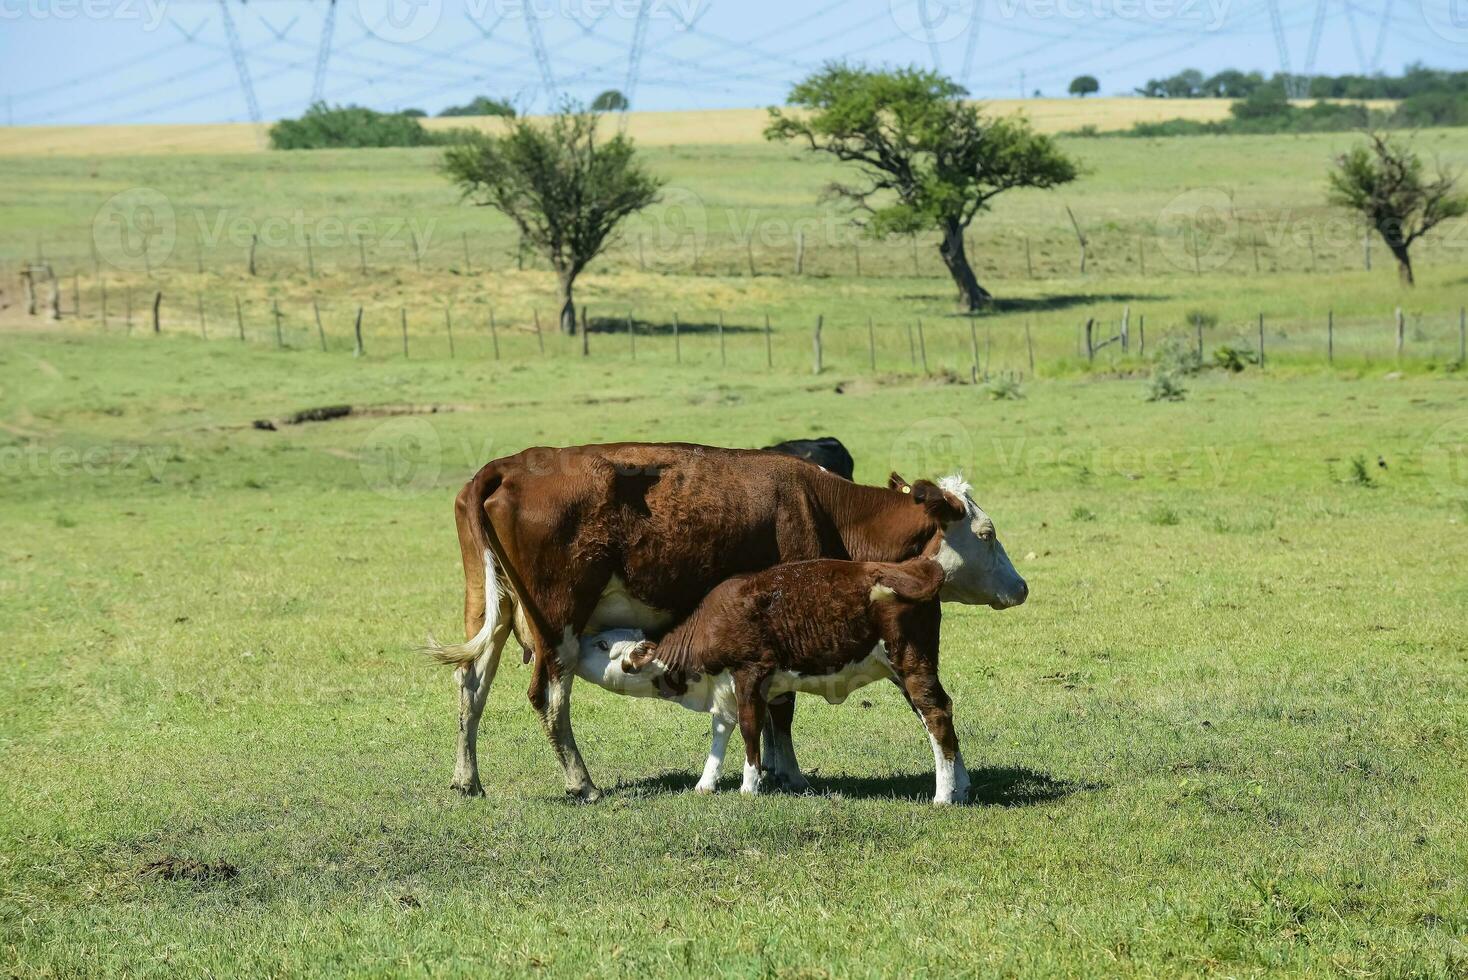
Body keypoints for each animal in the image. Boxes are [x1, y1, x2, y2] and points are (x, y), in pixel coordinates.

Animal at [613, 557, 968, 803]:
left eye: (615, 653)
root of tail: (914, 567)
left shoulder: (751, 672)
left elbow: (749, 727)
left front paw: (748, 787)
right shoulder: (726, 687)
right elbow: (721, 730)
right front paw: (705, 784)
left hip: (910, 659)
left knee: (935, 714)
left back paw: (942, 796)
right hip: (904, 668)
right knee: (941, 711)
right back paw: (961, 787)